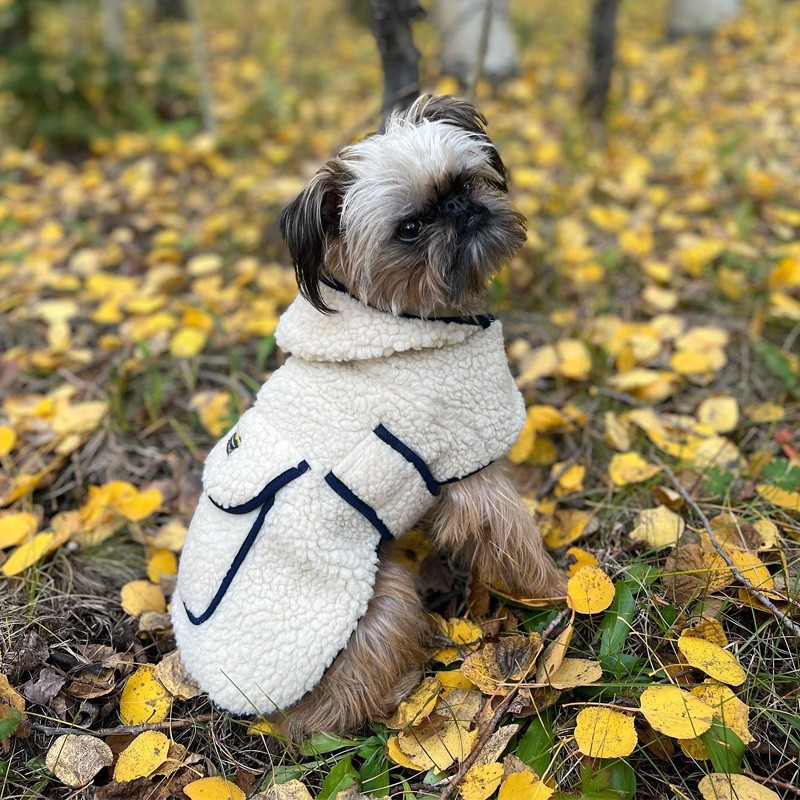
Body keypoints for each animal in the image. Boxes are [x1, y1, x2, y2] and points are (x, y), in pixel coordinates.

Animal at [173, 95, 564, 736]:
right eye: (408, 229)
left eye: (464, 182)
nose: (458, 207)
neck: (403, 318)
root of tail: (241, 705)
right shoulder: (469, 467)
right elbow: (517, 542)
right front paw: (566, 591)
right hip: (380, 602)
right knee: (334, 712)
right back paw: (404, 691)